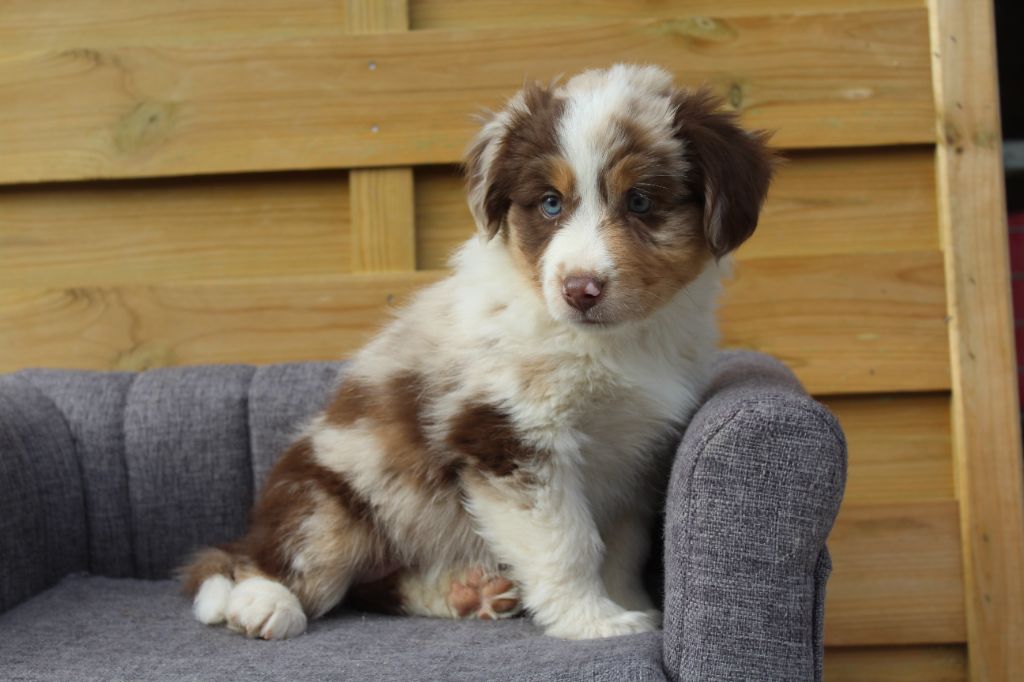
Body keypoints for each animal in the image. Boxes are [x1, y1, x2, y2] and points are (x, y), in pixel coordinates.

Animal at [180, 64, 773, 641]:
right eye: (551, 203)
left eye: (641, 201)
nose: (579, 290)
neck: (610, 342)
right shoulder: (510, 436)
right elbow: (568, 543)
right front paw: (594, 623)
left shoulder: (636, 455)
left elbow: (624, 547)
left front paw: (630, 605)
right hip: (326, 500)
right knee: (284, 563)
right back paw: (260, 603)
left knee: (372, 588)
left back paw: (466, 593)